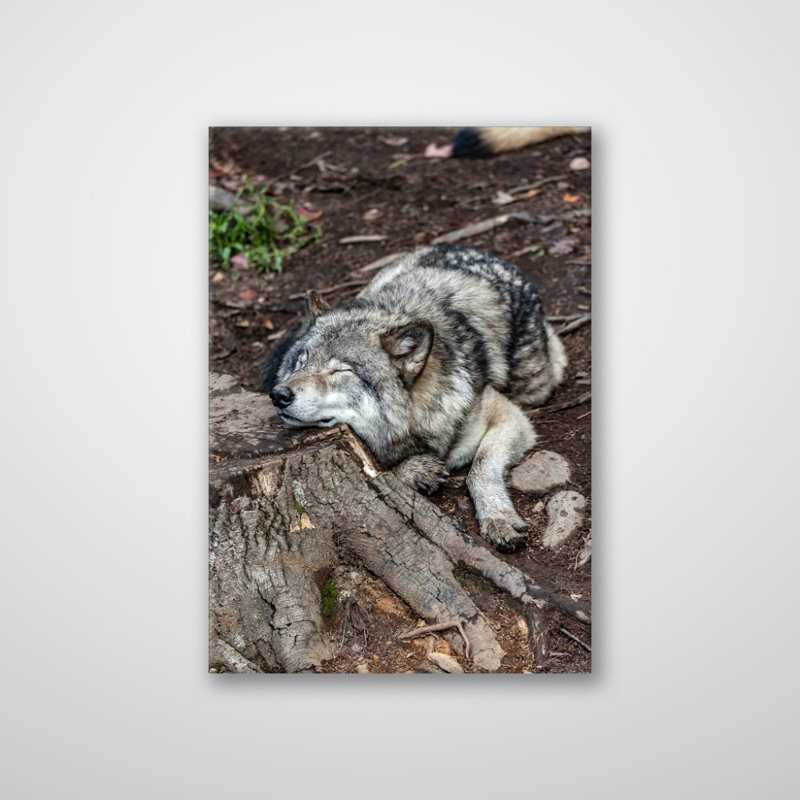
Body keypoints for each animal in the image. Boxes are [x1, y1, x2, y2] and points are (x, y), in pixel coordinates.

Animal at [261, 245, 567, 550]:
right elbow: (379, 468)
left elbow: (480, 469)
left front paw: (498, 517)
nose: (279, 395)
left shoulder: (509, 416)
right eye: (301, 363)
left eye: (340, 370)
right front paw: (414, 469)